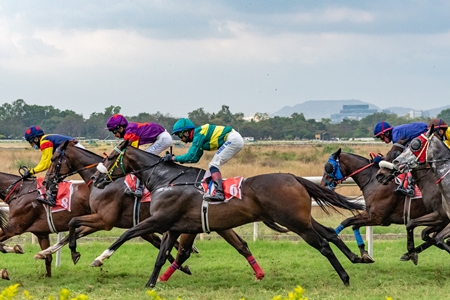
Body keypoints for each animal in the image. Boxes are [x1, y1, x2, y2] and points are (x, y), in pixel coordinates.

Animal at [33, 141, 268, 282]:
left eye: (53, 160)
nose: (46, 181)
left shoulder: (105, 220)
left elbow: (73, 224)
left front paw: (78, 254)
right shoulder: (112, 221)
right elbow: (72, 232)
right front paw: (46, 252)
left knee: (194, 248)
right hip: (216, 222)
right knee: (240, 245)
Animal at [92, 142, 370, 288]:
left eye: (110, 157)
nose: (95, 178)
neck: (166, 180)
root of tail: (293, 177)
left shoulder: (159, 220)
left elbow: (127, 234)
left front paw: (99, 258)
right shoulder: (173, 226)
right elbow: (162, 255)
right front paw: (151, 284)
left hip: (295, 222)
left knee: (323, 244)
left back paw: (345, 277)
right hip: (302, 219)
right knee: (330, 234)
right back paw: (357, 258)